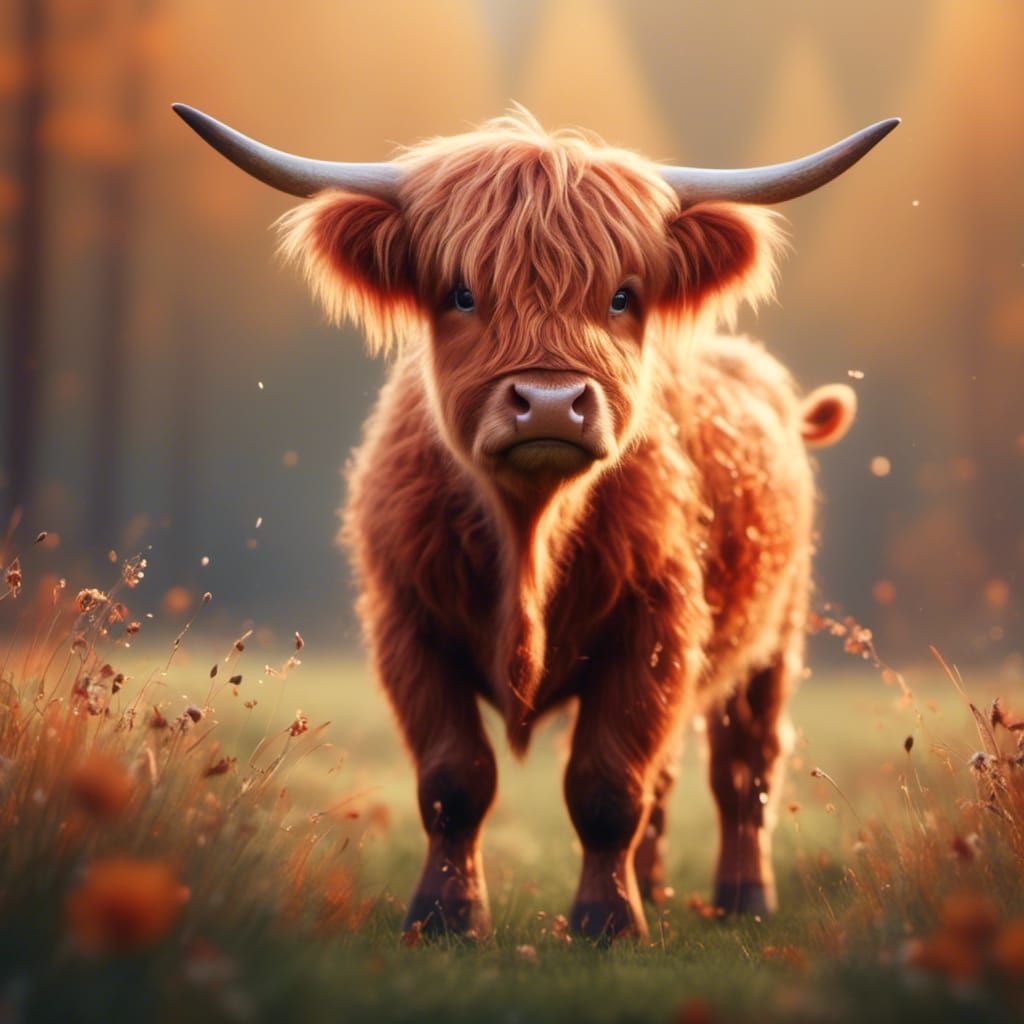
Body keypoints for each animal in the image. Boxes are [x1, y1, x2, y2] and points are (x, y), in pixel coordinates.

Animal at [174, 103, 897, 940]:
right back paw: (655, 886)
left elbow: (608, 783)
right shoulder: (406, 624)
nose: (550, 404)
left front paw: (607, 921)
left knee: (743, 764)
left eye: (623, 296)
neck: (529, 530)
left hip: (773, 637)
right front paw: (447, 914)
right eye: (460, 293)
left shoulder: (654, 625)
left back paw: (743, 897)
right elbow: (454, 779)